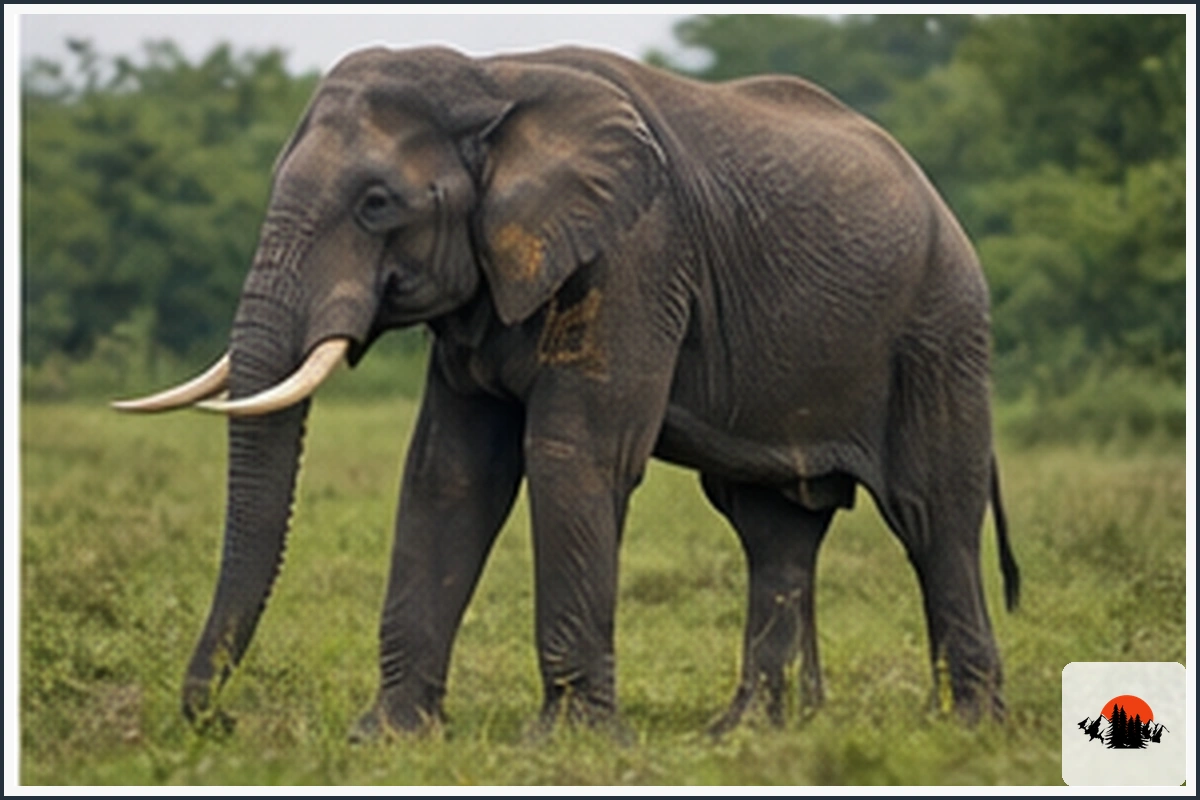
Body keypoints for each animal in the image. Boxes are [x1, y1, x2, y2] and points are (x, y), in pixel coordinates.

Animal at [115, 44, 1020, 739]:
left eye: (376, 204)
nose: (215, 721)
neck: (490, 77)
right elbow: (449, 474)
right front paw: (390, 738)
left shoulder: (636, 256)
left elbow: (573, 457)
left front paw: (567, 743)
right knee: (773, 528)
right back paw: (747, 735)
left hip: (938, 331)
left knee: (932, 515)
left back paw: (968, 729)